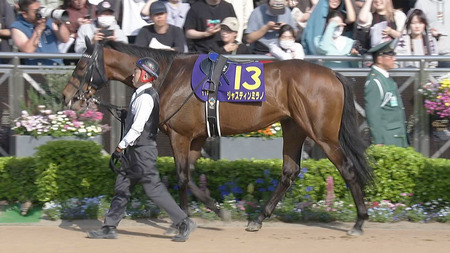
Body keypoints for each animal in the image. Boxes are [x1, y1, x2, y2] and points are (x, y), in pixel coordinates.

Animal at [62, 39, 372, 235]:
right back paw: (258, 218)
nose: (66, 97)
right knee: (289, 171)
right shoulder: (196, 138)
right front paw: (218, 211)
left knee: (347, 169)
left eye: (80, 66)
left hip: (322, 134)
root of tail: (333, 73)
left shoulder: (180, 136)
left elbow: (182, 177)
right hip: (293, 127)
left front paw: (183, 220)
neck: (170, 76)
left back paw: (359, 222)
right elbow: (190, 176)